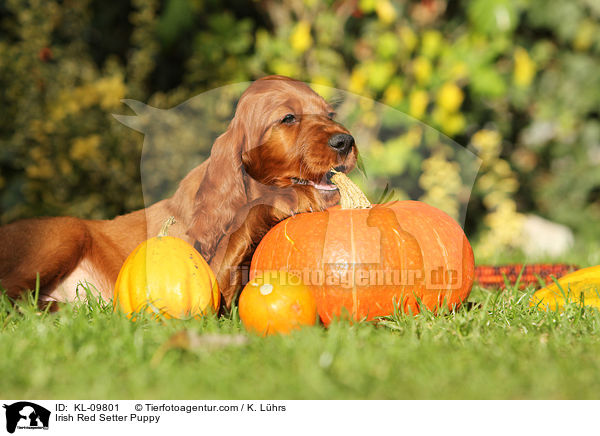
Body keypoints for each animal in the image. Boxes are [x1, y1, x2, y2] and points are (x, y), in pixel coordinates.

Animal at [0, 76, 356, 306]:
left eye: (330, 115)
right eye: (288, 117)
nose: (345, 141)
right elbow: (247, 213)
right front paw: (292, 198)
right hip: (65, 232)